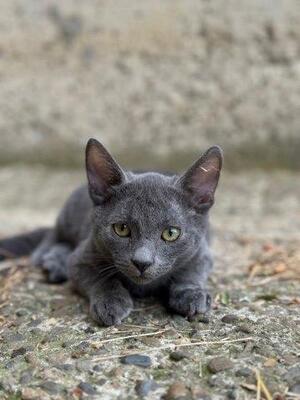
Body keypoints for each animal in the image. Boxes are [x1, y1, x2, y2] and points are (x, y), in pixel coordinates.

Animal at [0, 138, 223, 324]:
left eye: (171, 233)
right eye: (121, 229)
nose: (142, 262)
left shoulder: (202, 252)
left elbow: (192, 271)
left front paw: (191, 294)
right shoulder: (82, 257)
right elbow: (100, 277)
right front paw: (110, 302)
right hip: (68, 216)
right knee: (49, 239)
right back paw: (54, 260)